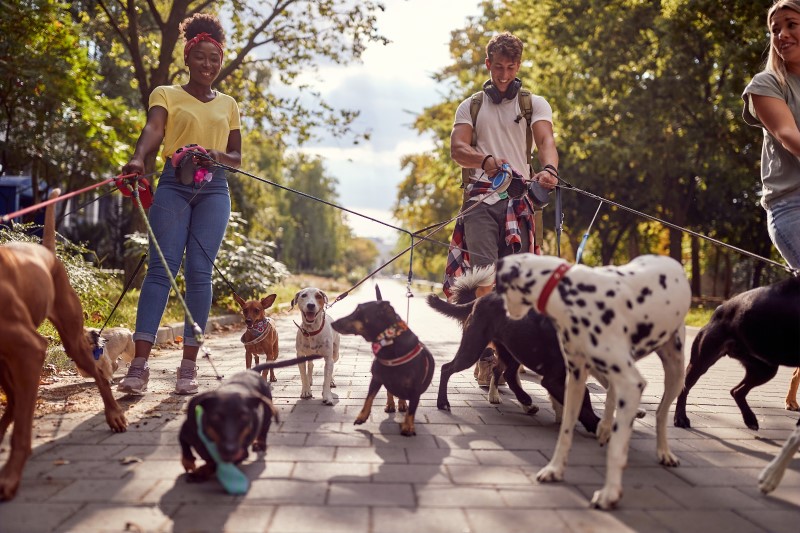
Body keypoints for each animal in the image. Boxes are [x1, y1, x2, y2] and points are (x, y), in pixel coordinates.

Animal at [0, 191, 126, 498]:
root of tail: (46, 253)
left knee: (100, 378)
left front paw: (10, 477)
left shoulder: (30, 350)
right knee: (13, 400)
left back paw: (114, 415)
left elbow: (22, 429)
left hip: (71, 340)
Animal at [330, 286, 434, 436]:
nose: (333, 323)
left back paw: (402, 404)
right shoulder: (377, 378)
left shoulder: (415, 390)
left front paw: (408, 426)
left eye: (358, 311)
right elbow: (369, 398)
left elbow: (412, 410)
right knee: (390, 392)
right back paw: (391, 404)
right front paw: (362, 416)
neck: (388, 343)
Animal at [496, 251, 692, 510]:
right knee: (612, 397)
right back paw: (605, 427)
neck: (570, 292)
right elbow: (566, 430)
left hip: (675, 373)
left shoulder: (631, 383)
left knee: (660, 413)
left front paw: (610, 493)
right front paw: (555, 469)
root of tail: (670, 261)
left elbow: (617, 448)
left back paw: (664, 452)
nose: (506, 312)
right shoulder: (575, 378)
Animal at [676, 274, 800, 428]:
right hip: (701, 361)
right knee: (685, 387)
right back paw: (680, 418)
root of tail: (720, 308)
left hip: (765, 368)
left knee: (737, 391)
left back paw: (750, 419)